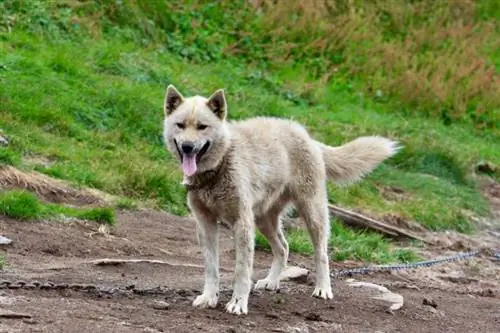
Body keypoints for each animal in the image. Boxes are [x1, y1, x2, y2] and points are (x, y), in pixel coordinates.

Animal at [162, 85, 400, 314]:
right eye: (180, 125)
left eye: (202, 126)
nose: (188, 147)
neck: (219, 166)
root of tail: (308, 137)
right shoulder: (206, 224)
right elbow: (211, 268)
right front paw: (209, 298)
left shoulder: (242, 224)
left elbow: (241, 271)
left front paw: (238, 303)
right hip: (264, 220)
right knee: (283, 247)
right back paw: (271, 282)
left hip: (312, 214)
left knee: (321, 253)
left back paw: (323, 288)